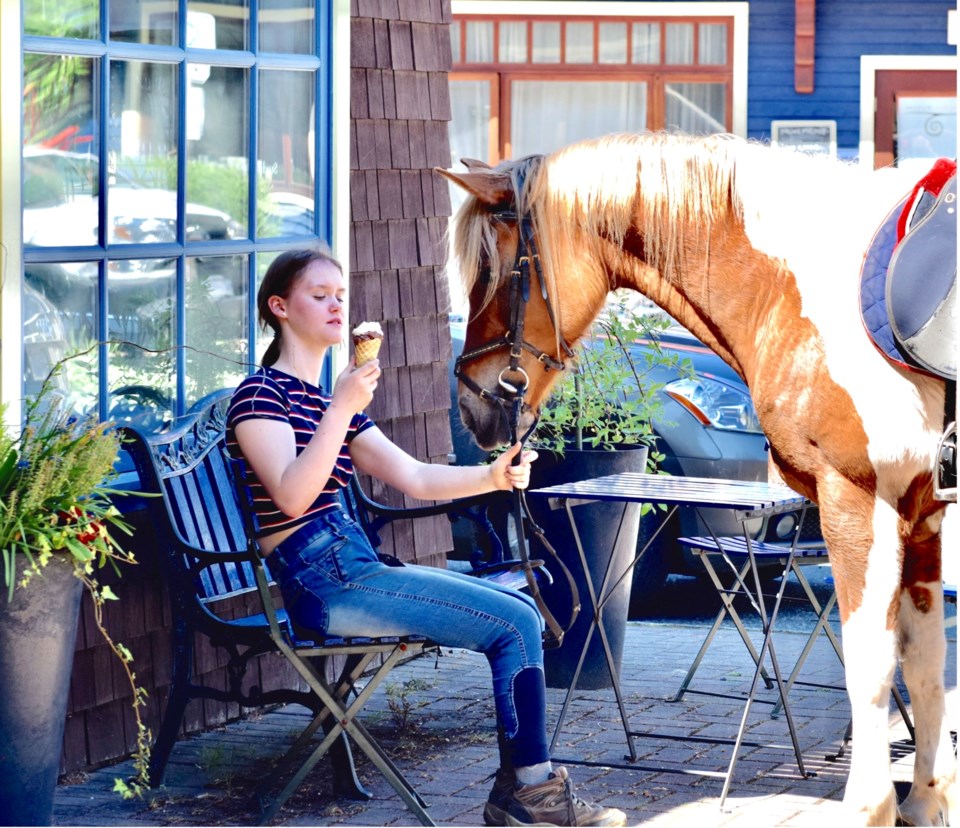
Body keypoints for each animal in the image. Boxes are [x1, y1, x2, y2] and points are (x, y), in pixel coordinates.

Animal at [438, 133, 956, 824]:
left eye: (491, 271)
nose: (474, 404)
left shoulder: (860, 504)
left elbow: (870, 664)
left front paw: (867, 806)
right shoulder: (919, 512)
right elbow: (923, 665)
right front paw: (924, 800)